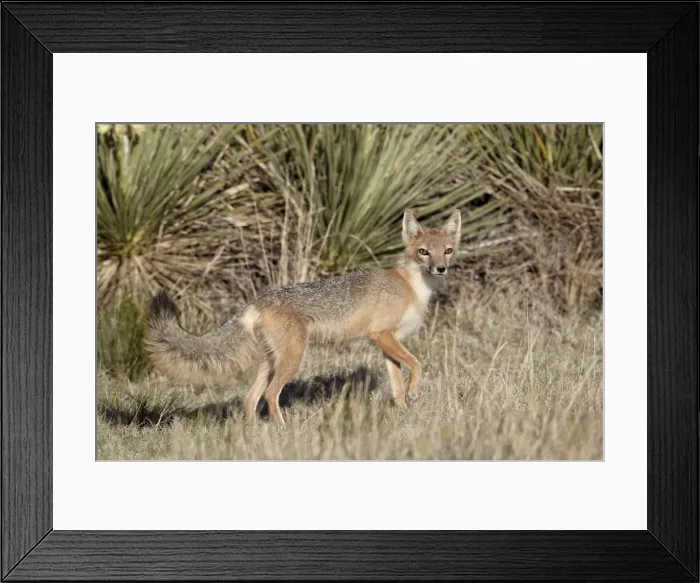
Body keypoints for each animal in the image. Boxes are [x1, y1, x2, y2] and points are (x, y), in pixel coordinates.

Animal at [145, 208, 461, 426]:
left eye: (447, 250)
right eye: (423, 252)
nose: (441, 269)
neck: (412, 286)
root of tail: (258, 300)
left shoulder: (386, 343)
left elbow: (397, 386)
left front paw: (404, 413)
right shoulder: (381, 335)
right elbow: (418, 364)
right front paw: (415, 394)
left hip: (272, 362)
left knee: (250, 399)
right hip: (293, 359)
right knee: (270, 395)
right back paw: (283, 430)